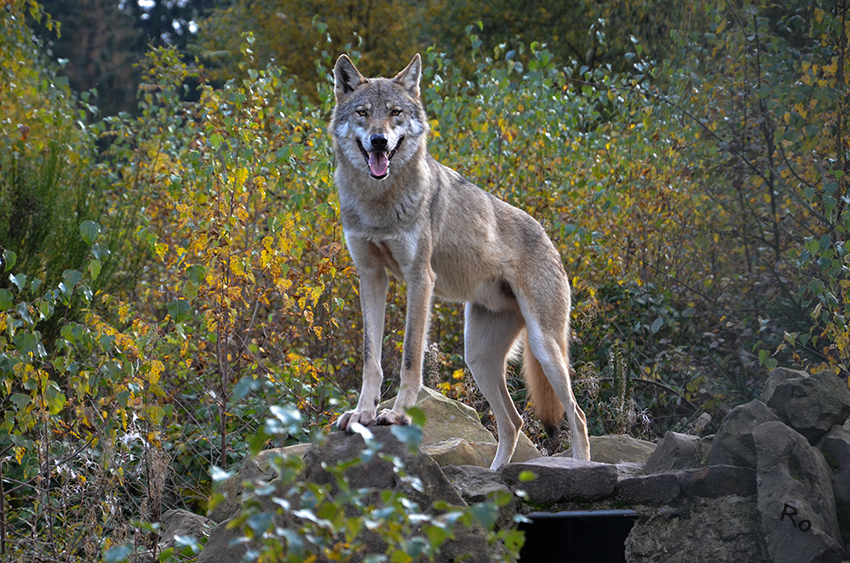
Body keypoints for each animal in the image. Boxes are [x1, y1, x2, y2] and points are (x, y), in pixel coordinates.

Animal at [332, 53, 588, 470]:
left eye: (395, 113)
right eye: (363, 113)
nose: (379, 141)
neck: (378, 202)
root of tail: (549, 237)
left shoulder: (420, 279)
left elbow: (409, 357)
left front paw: (397, 414)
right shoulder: (370, 276)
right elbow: (372, 358)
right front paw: (362, 414)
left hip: (545, 348)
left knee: (576, 414)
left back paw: (583, 467)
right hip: (478, 358)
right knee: (513, 421)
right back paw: (497, 474)